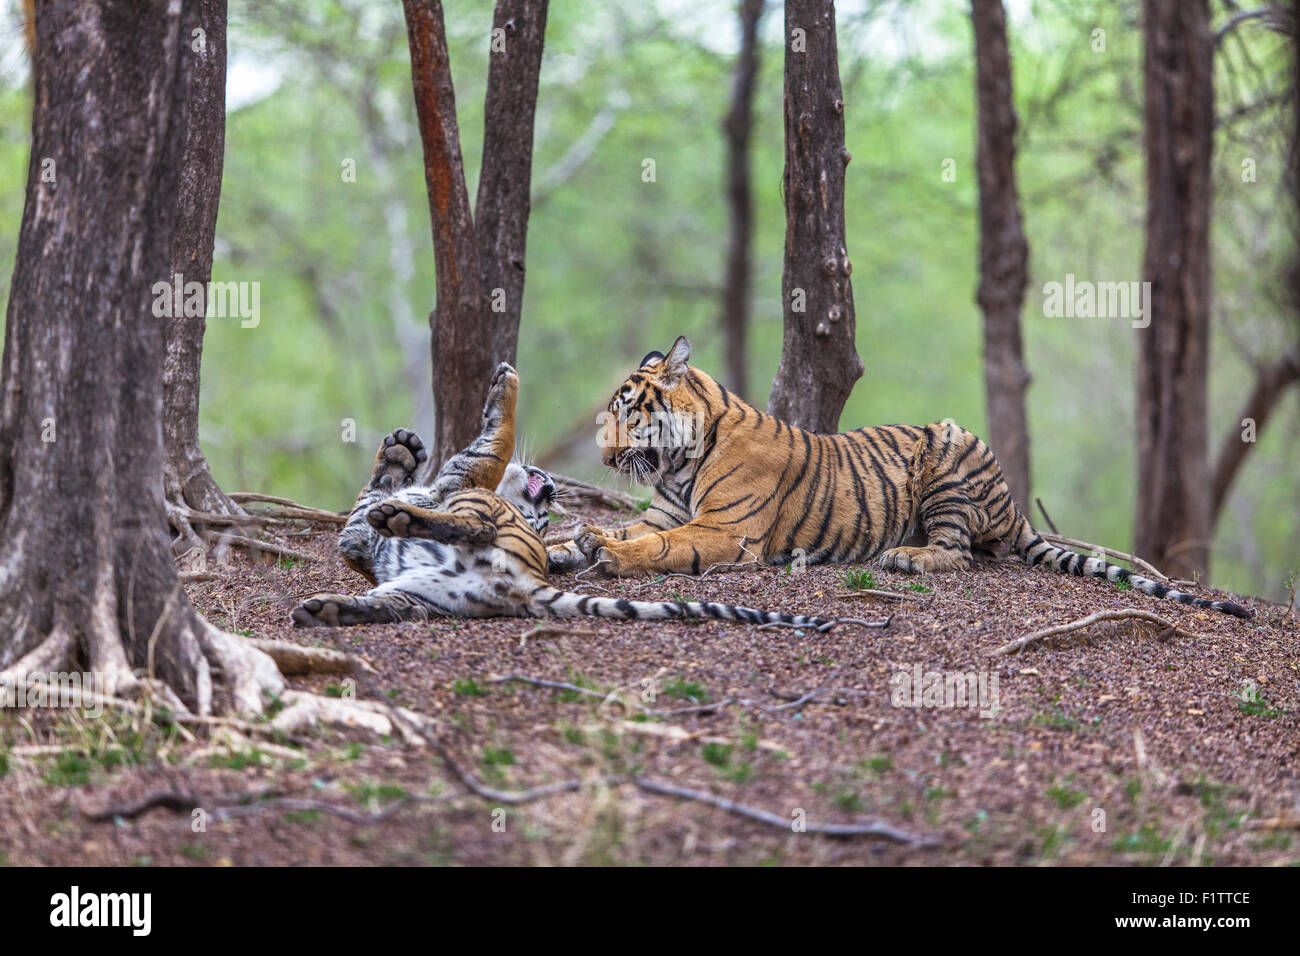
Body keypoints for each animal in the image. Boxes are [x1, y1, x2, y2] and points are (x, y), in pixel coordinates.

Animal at [290, 362, 837, 630]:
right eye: (545, 518)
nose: (550, 492)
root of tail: (523, 584)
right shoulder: (360, 536)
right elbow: (362, 507)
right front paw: (401, 454)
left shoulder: (466, 478)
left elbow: (493, 442)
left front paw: (503, 381)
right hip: (416, 595)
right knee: (407, 604)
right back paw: (327, 610)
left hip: (476, 515)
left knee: (472, 525)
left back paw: (396, 521)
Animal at [547, 336, 1252, 620]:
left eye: (627, 411)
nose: (604, 461)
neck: (681, 460)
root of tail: (1016, 504)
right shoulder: (663, 511)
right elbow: (612, 534)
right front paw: (563, 543)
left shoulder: (723, 531)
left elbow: (657, 547)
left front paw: (604, 552)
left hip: (950, 444)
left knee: (961, 553)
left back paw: (904, 558)